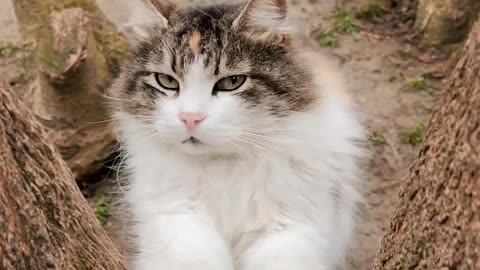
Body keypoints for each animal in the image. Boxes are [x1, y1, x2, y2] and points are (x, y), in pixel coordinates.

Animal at [107, 0, 366, 268]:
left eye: (232, 82)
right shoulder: (175, 216)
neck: (223, 168)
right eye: (166, 81)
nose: (190, 118)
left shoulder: (288, 227)